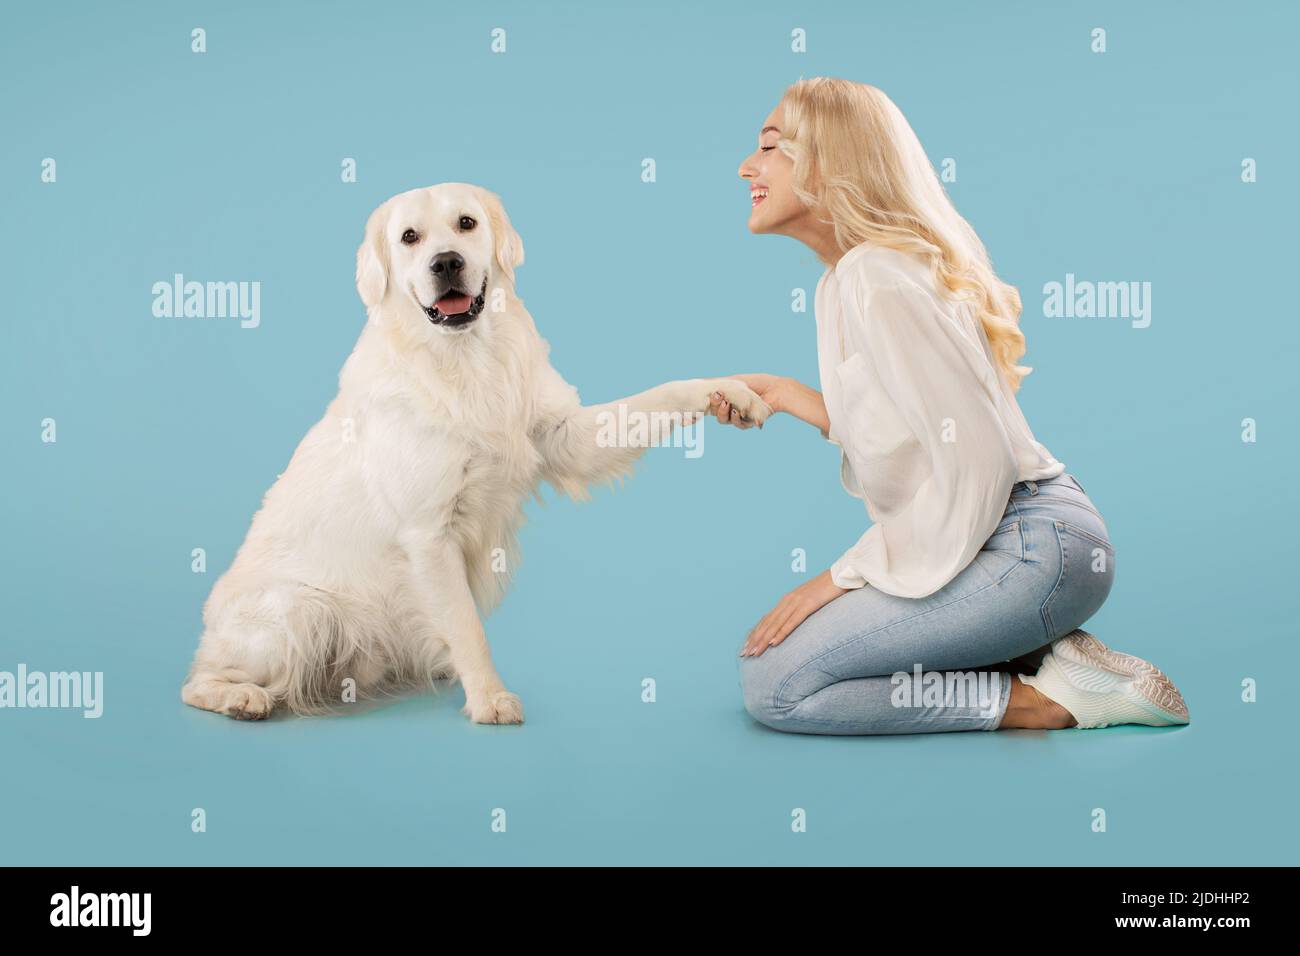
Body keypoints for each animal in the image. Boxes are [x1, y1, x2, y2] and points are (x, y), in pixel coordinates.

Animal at [183, 184, 769, 723]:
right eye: (409, 237)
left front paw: (730, 393)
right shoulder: (429, 535)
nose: (446, 262)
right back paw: (241, 697)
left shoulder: (566, 435)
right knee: (196, 681)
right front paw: (489, 698)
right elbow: (467, 627)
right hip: (302, 611)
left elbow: (662, 394)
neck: (466, 359)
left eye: (466, 223)